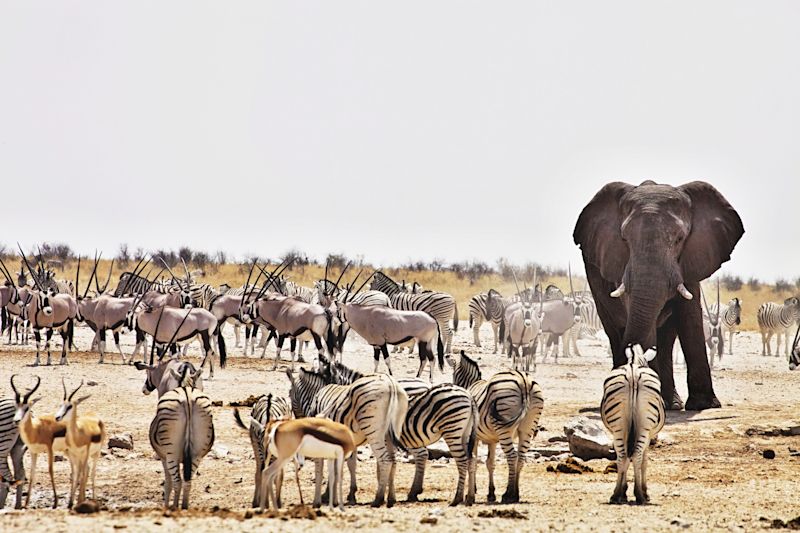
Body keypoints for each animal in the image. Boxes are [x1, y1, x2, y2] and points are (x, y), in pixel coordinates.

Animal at [573, 181, 744, 411]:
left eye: (679, 239)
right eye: (624, 239)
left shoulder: (691, 259)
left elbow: (690, 317)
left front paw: (704, 405)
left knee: (666, 338)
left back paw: (671, 403)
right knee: (615, 331)